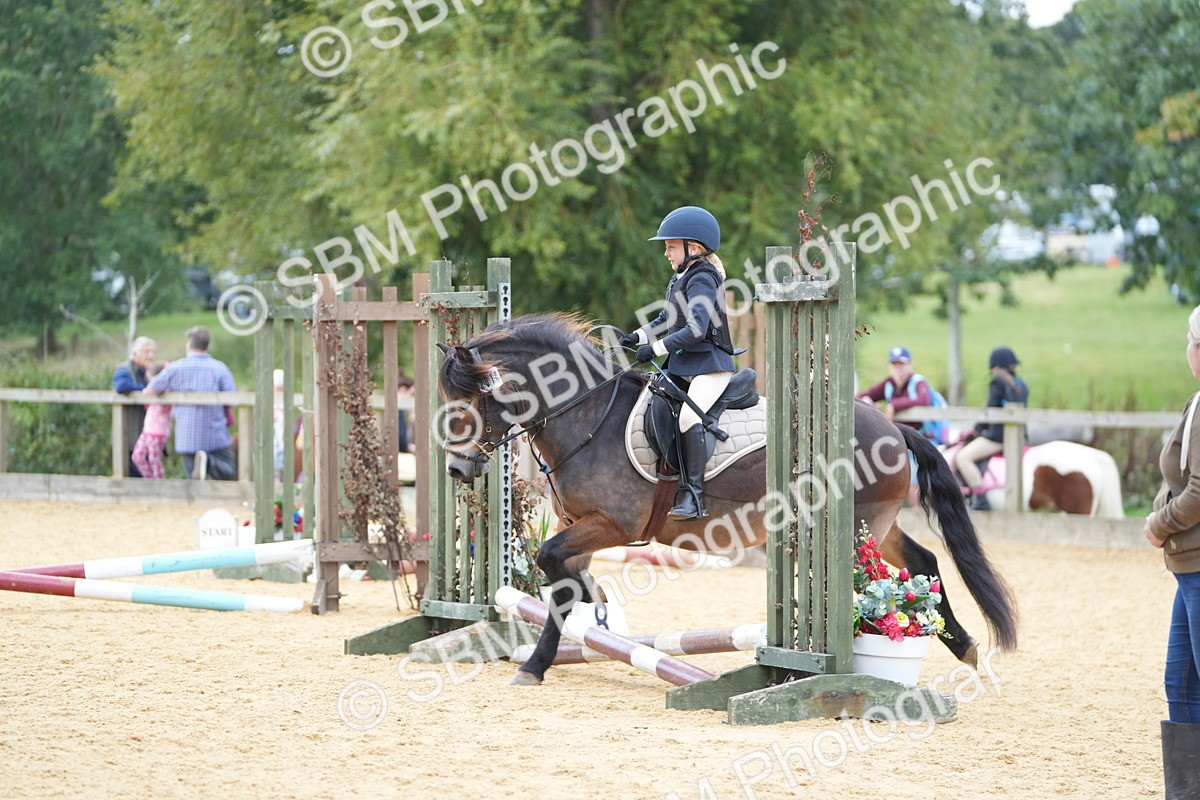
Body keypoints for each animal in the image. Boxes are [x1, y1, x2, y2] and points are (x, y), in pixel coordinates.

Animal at [436, 313, 1018, 685]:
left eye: (475, 398)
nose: (457, 470)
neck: (585, 415)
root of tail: (896, 427)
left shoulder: (615, 524)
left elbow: (551, 563)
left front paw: (543, 656)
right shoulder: (579, 524)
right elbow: (561, 579)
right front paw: (572, 628)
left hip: (856, 531)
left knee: (897, 577)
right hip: (876, 526)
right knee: (924, 562)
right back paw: (964, 647)